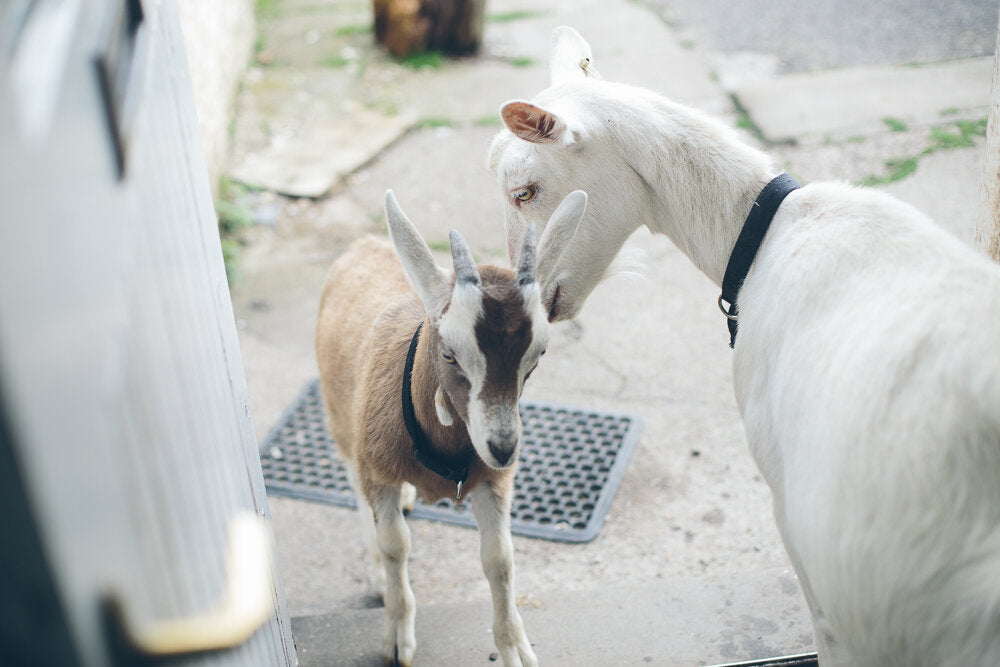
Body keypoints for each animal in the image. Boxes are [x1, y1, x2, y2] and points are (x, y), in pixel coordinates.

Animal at [314, 189, 584, 667]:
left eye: (538, 354)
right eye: (449, 354)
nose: (503, 446)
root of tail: (361, 245)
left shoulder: (492, 482)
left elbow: (499, 558)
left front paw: (514, 646)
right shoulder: (378, 471)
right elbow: (394, 545)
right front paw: (397, 638)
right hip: (341, 423)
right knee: (353, 480)